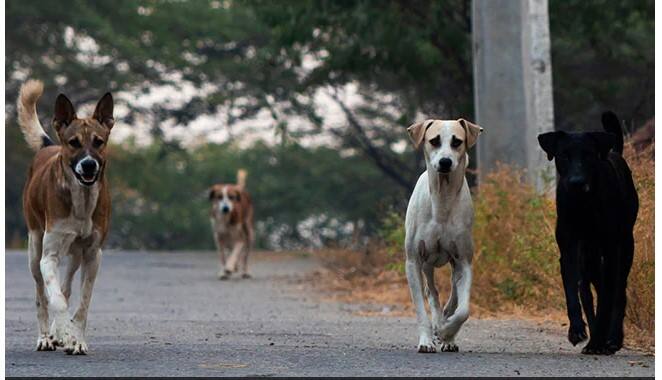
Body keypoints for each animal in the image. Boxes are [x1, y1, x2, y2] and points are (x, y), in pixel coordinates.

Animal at [17, 78, 115, 354]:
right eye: (74, 142)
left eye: (98, 141)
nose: (89, 165)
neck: (81, 200)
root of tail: (49, 146)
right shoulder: (48, 256)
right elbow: (57, 301)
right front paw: (63, 332)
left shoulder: (93, 255)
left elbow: (82, 302)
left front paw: (77, 339)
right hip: (34, 247)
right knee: (42, 294)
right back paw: (46, 337)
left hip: (75, 256)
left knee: (66, 286)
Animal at [404, 117, 482, 352]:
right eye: (434, 140)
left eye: (457, 141)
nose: (445, 162)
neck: (442, 200)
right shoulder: (413, 261)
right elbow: (421, 308)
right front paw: (426, 340)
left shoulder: (464, 260)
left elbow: (464, 310)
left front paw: (447, 332)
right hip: (427, 262)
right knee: (431, 291)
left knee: (453, 294)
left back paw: (446, 331)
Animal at [540, 111, 644, 354]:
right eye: (564, 156)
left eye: (588, 156)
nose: (576, 182)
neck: (583, 204)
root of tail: (614, 152)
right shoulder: (569, 250)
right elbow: (573, 293)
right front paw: (577, 330)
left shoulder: (612, 251)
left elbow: (607, 299)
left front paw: (599, 340)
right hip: (589, 258)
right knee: (591, 290)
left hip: (625, 247)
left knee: (619, 292)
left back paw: (612, 339)